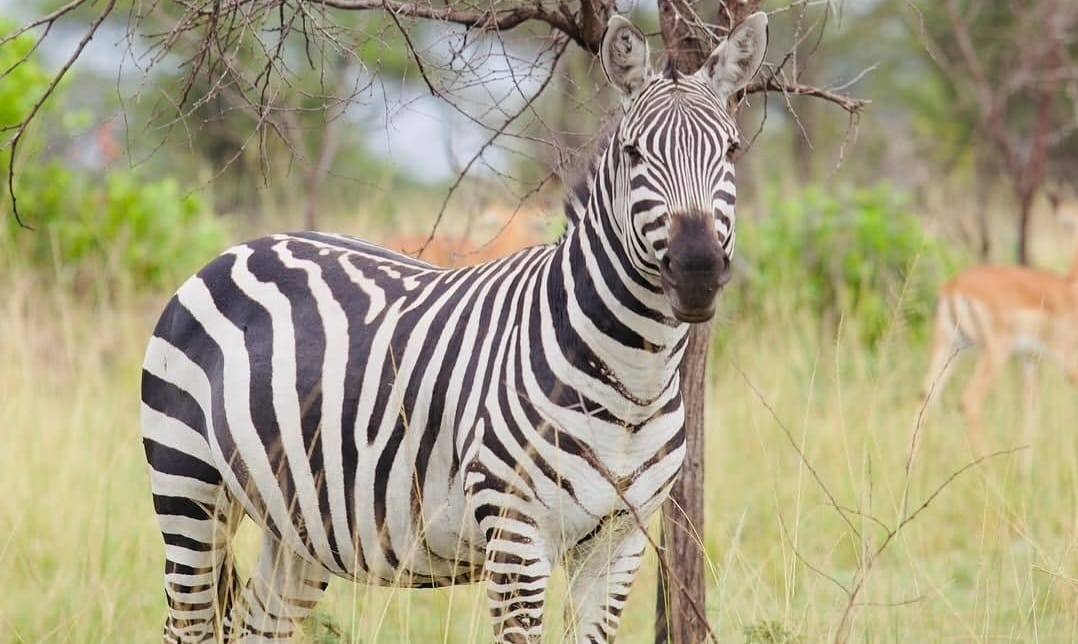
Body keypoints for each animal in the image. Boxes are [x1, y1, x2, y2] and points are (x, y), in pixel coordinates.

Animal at [140, 12, 768, 643]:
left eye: (732, 149)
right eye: (635, 153)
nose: (697, 270)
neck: (634, 380)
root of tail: (245, 245)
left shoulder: (620, 542)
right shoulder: (516, 534)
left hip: (298, 527)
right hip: (189, 488)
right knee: (186, 619)